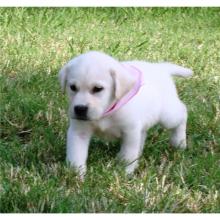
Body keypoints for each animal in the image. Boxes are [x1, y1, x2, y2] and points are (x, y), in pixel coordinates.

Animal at [58, 50, 192, 178]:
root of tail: (161, 68)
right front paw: (76, 175)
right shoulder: (79, 132)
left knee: (183, 113)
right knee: (143, 135)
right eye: (72, 87)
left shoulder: (130, 131)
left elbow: (129, 154)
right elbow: (76, 154)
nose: (80, 109)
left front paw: (124, 172)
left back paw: (179, 142)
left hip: (168, 115)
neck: (106, 112)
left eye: (98, 88)